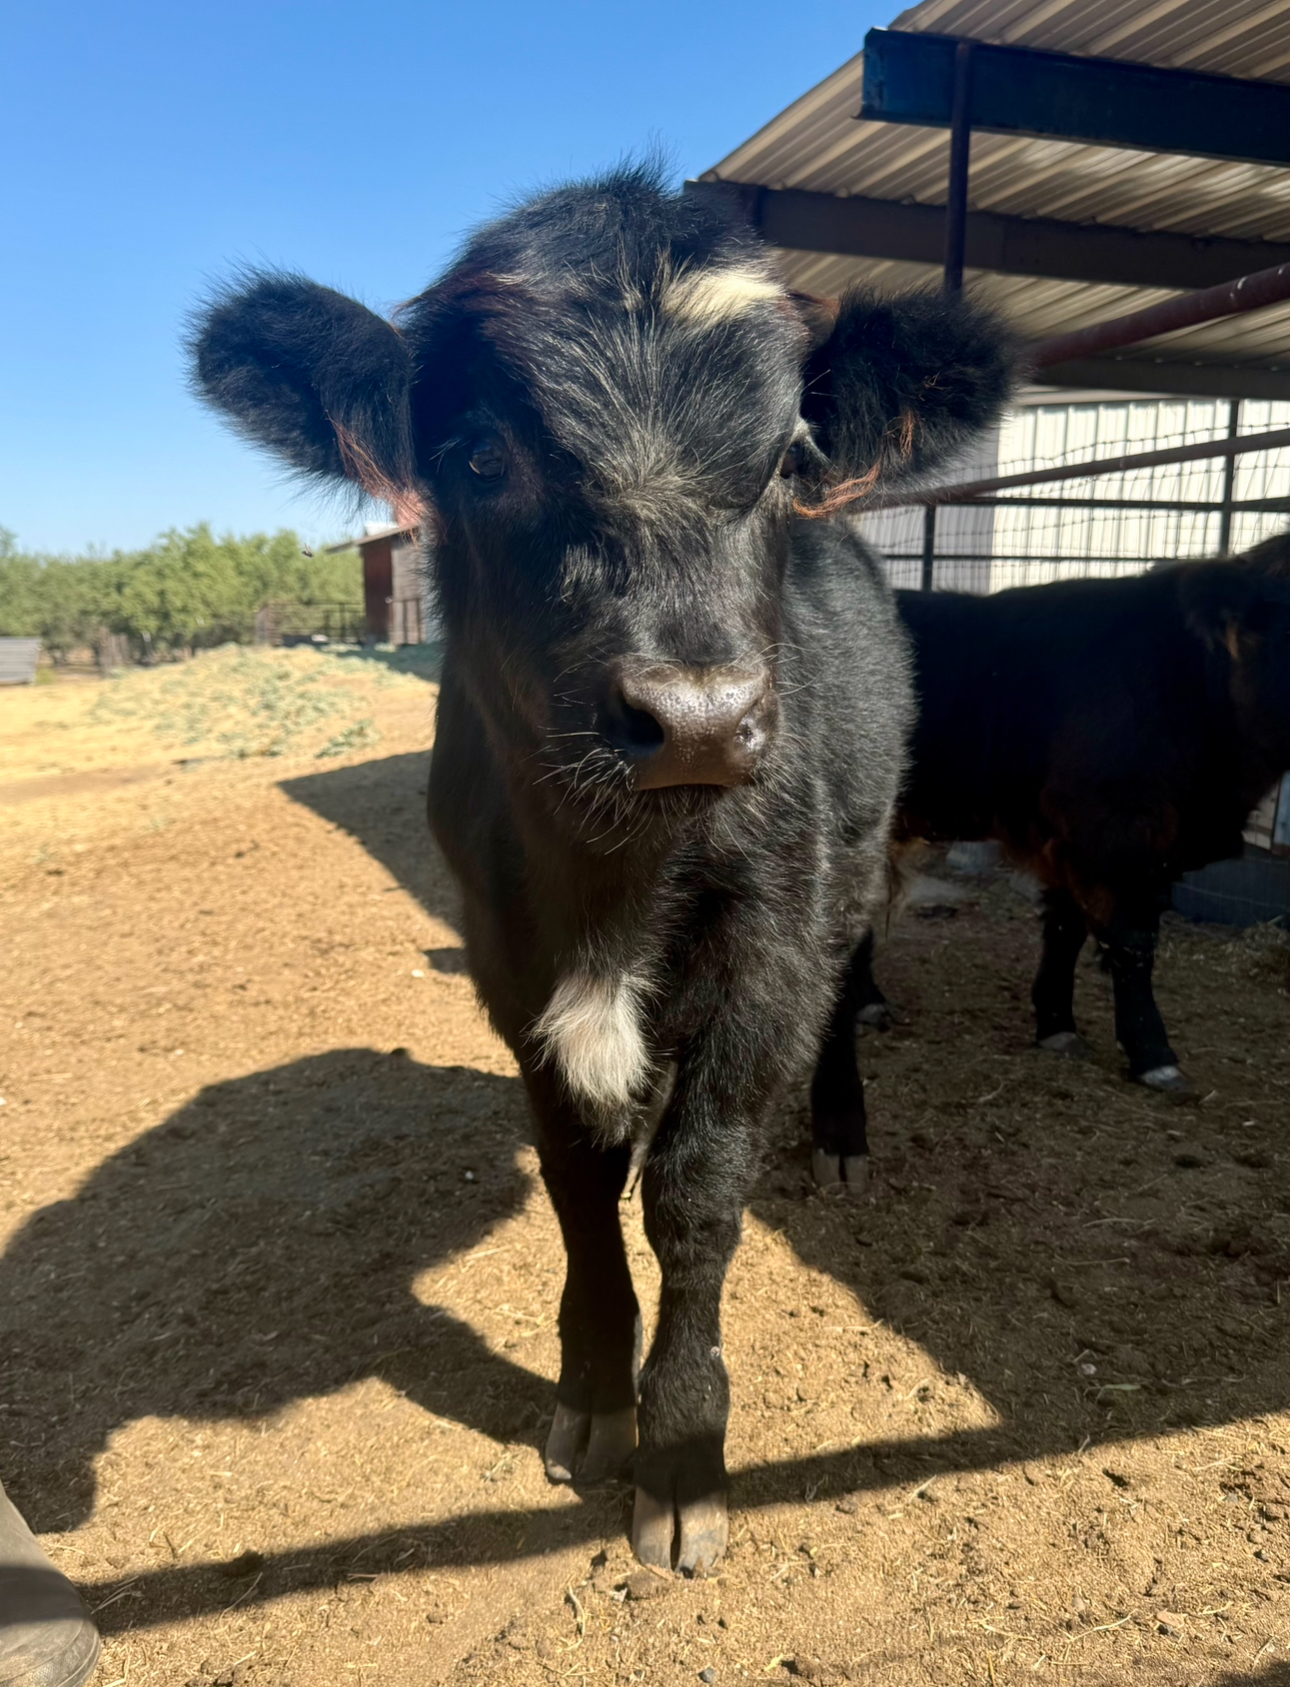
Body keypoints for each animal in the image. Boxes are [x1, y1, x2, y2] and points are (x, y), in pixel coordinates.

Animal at [191, 164, 1018, 1572]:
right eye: (482, 455)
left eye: (787, 459)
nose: (697, 717)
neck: (614, 878)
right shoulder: (506, 957)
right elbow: (580, 1182)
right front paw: (589, 1395)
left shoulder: (767, 951)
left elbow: (695, 1192)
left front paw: (681, 1446)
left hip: (853, 870)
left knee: (847, 984)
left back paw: (843, 1130)